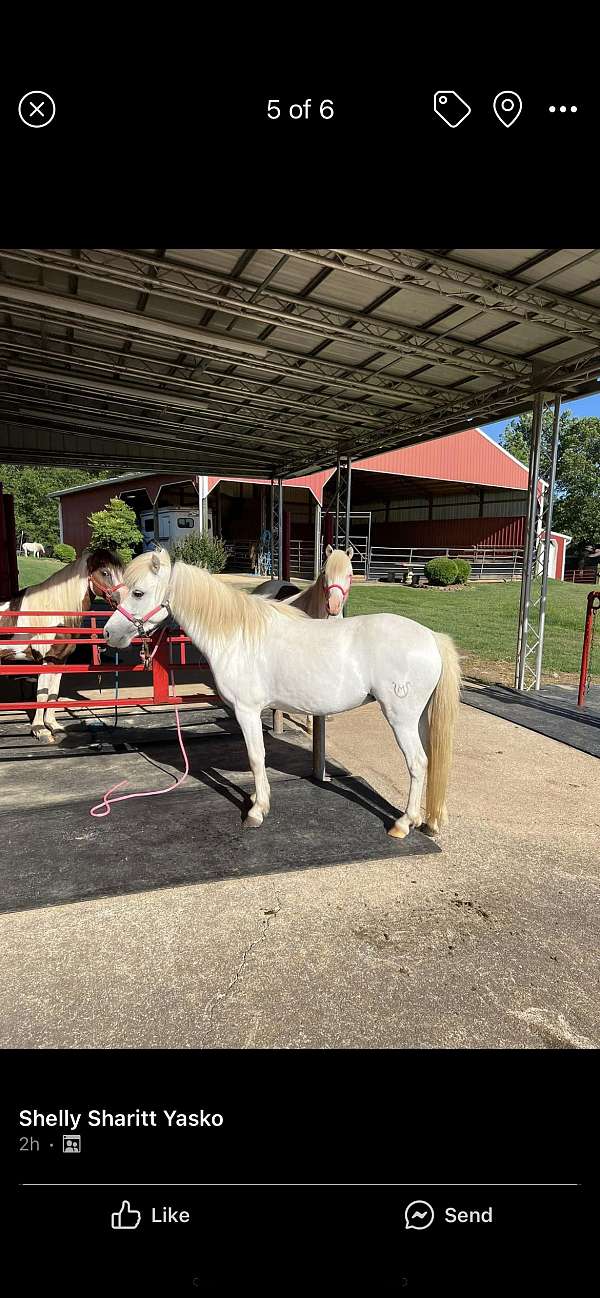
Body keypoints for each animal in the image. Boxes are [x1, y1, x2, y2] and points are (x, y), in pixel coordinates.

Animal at [0, 548, 124, 741]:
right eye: (105, 572)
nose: (124, 599)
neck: (51, 613)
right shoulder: (46, 660)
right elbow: (42, 695)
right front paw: (40, 730)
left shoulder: (60, 660)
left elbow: (53, 693)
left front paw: (54, 726)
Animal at [104, 549, 461, 838]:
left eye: (138, 592)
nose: (109, 633)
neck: (235, 634)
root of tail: (430, 637)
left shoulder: (247, 711)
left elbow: (256, 757)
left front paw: (256, 810)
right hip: (419, 719)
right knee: (429, 761)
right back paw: (426, 821)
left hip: (401, 719)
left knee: (417, 763)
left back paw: (403, 823)